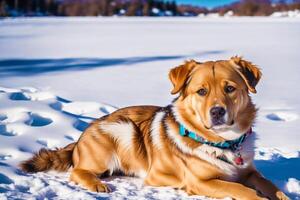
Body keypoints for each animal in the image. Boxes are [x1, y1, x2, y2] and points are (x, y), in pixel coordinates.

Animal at [20, 56, 288, 200]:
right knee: (77, 171)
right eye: (201, 91)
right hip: (121, 130)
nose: (217, 112)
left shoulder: (250, 172)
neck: (225, 143)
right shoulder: (201, 181)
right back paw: (97, 183)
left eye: (230, 88)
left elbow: (270, 186)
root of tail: (81, 137)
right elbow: (242, 190)